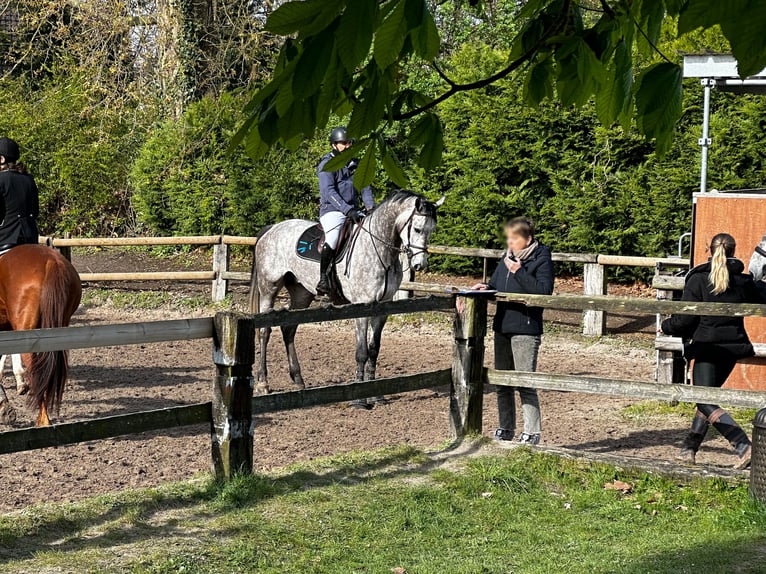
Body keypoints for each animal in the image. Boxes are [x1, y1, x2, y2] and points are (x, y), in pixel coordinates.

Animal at [252, 191, 444, 398]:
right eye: (417, 229)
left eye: (431, 230)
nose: (419, 265)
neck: (379, 250)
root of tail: (272, 229)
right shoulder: (362, 306)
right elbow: (362, 352)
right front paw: (360, 392)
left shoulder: (383, 308)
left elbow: (374, 349)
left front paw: (376, 393)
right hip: (269, 289)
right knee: (264, 331)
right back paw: (263, 383)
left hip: (301, 293)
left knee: (289, 329)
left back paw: (298, 379)